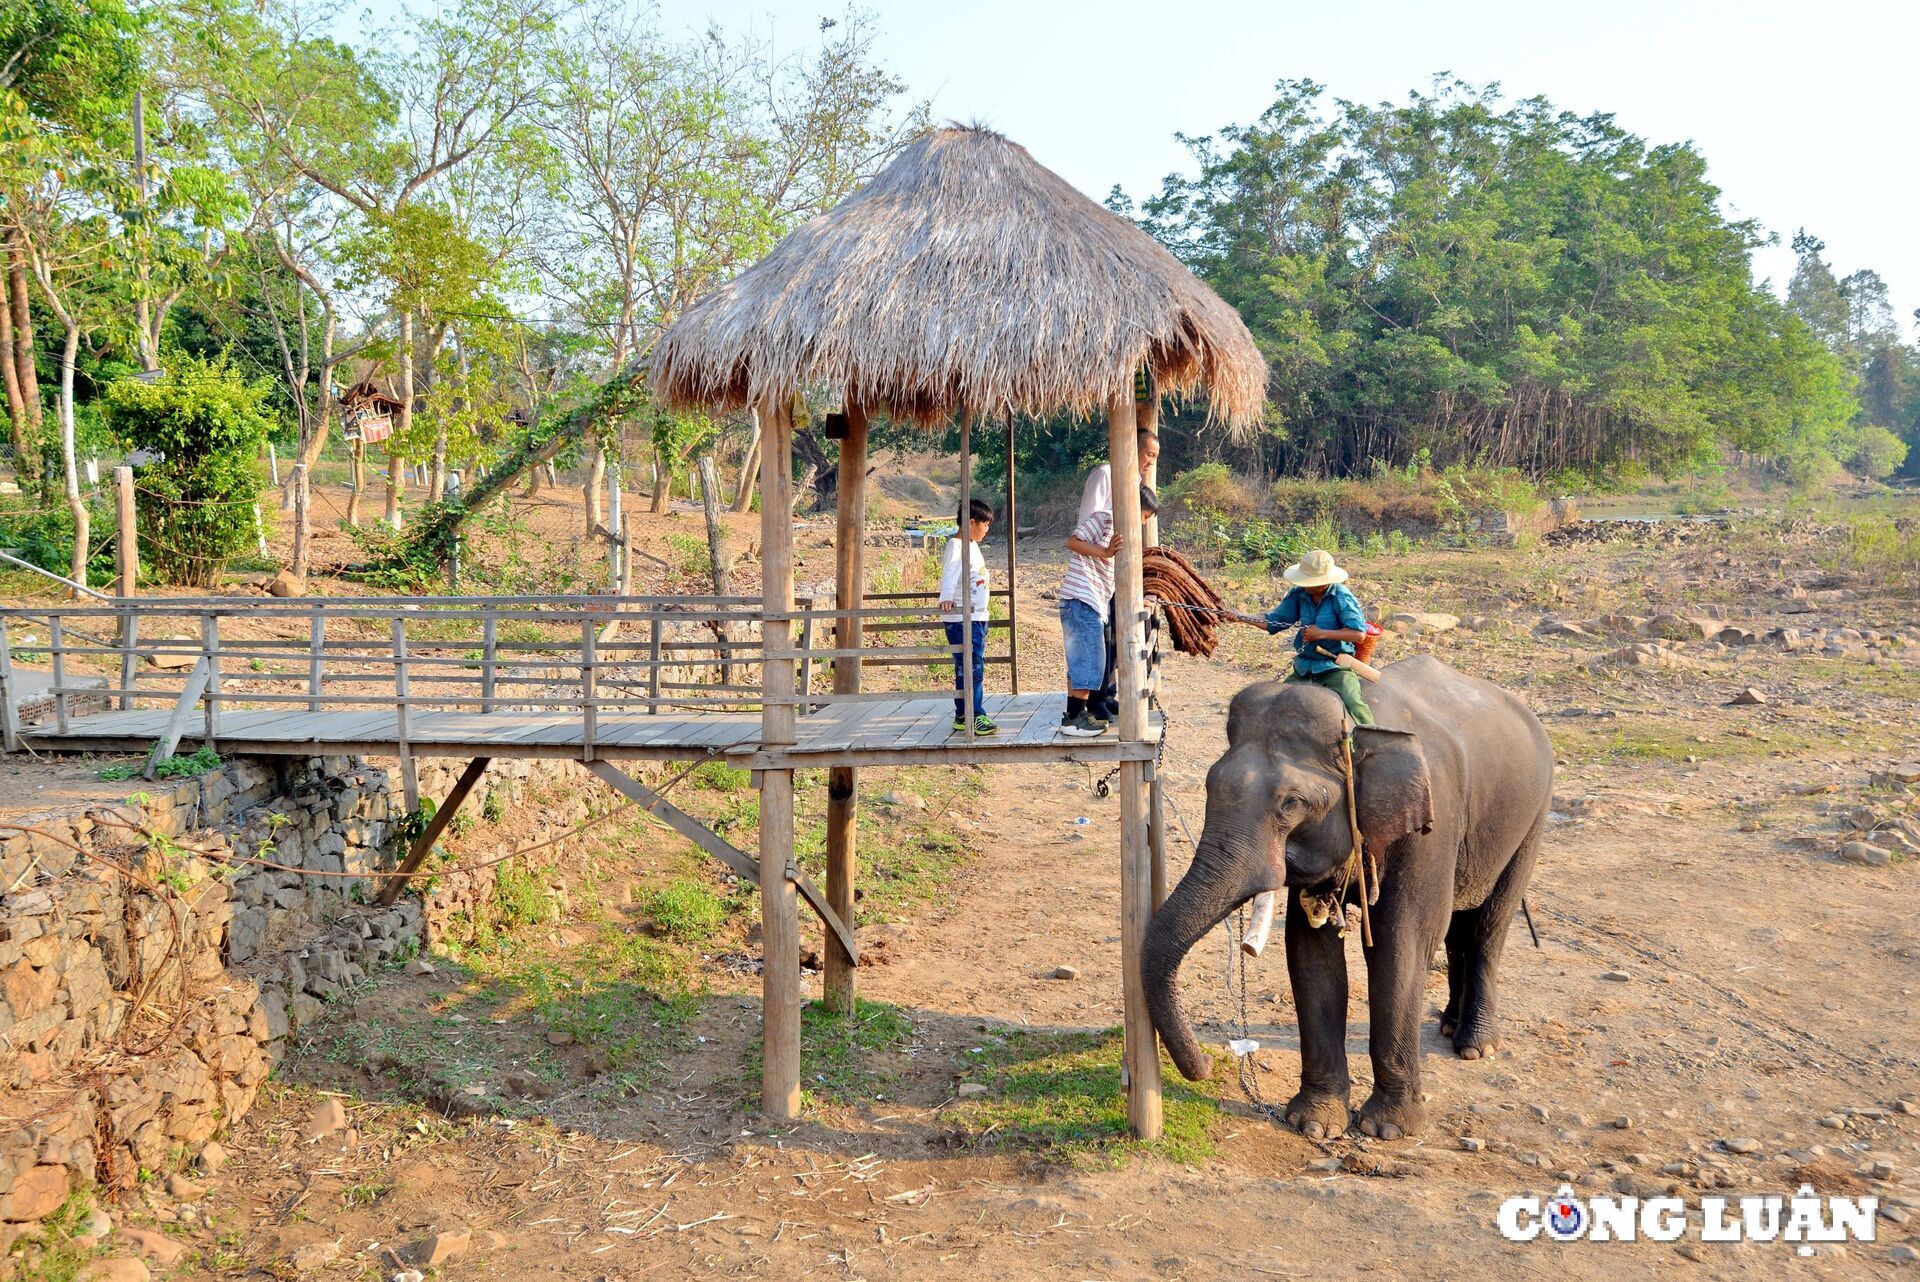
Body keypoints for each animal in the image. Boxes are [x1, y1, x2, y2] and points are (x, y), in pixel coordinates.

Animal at [1144, 656, 1551, 1136]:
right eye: (1208, 786)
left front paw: (1388, 1129)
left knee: (1489, 924)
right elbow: (1310, 949)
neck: (1358, 727)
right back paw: (1450, 1026)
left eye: (1292, 803)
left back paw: (1476, 1046)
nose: (1207, 1063)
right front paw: (1314, 1124)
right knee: (1458, 925)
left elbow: (1400, 944)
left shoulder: (1431, 827)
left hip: (1533, 817)